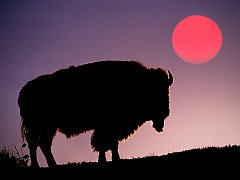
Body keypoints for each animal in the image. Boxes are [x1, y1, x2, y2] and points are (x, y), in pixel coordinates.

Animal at [18, 60, 172, 167]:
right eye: (155, 90)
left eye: (166, 89)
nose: (165, 112)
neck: (137, 83)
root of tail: (24, 91)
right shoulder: (107, 126)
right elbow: (105, 143)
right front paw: (112, 159)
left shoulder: (107, 127)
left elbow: (107, 143)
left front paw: (107, 160)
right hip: (41, 126)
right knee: (36, 143)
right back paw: (39, 166)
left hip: (48, 127)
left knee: (42, 144)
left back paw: (51, 165)